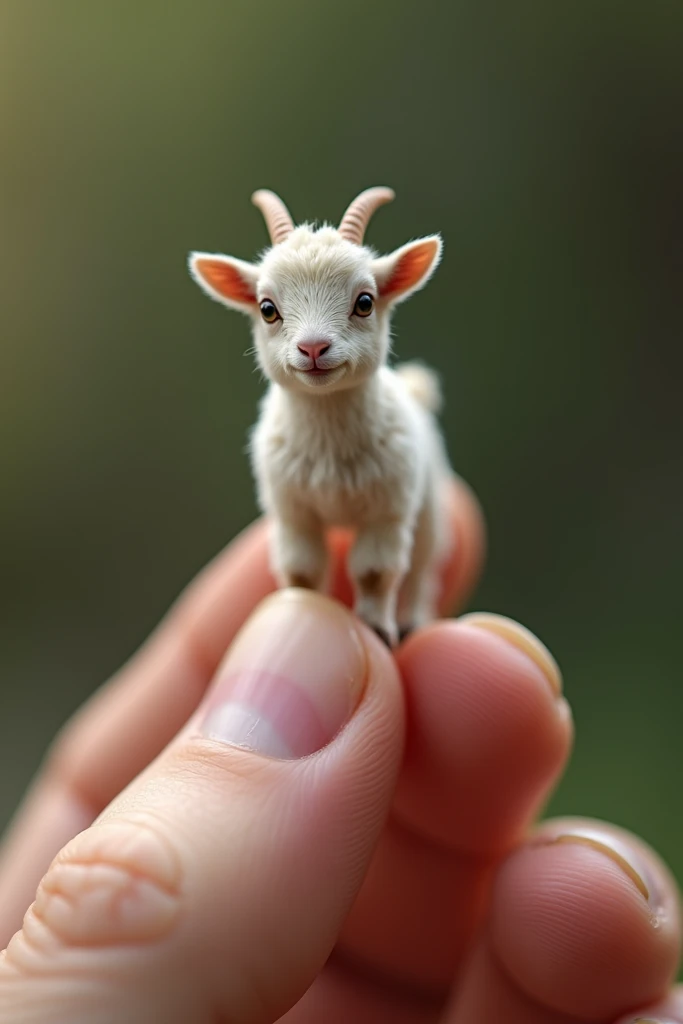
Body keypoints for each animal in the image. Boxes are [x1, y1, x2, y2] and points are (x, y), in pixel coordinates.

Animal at [188, 188, 454, 643]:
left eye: (364, 302)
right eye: (267, 308)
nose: (313, 348)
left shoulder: (388, 508)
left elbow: (375, 572)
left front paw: (376, 628)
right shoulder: (293, 512)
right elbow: (302, 571)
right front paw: (303, 612)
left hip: (429, 503)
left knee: (421, 569)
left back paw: (412, 619)